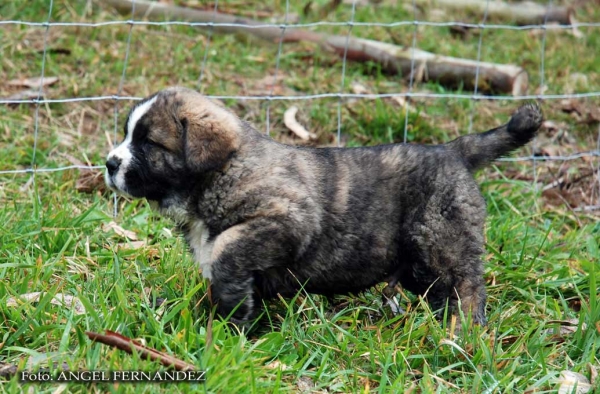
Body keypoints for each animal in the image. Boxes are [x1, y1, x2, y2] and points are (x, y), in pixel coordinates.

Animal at [106, 87, 544, 326]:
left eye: (148, 143)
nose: (109, 163)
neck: (221, 171)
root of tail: (453, 151)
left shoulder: (286, 218)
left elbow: (227, 252)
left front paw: (231, 323)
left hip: (442, 240)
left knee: (466, 289)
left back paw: (461, 335)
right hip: (418, 262)